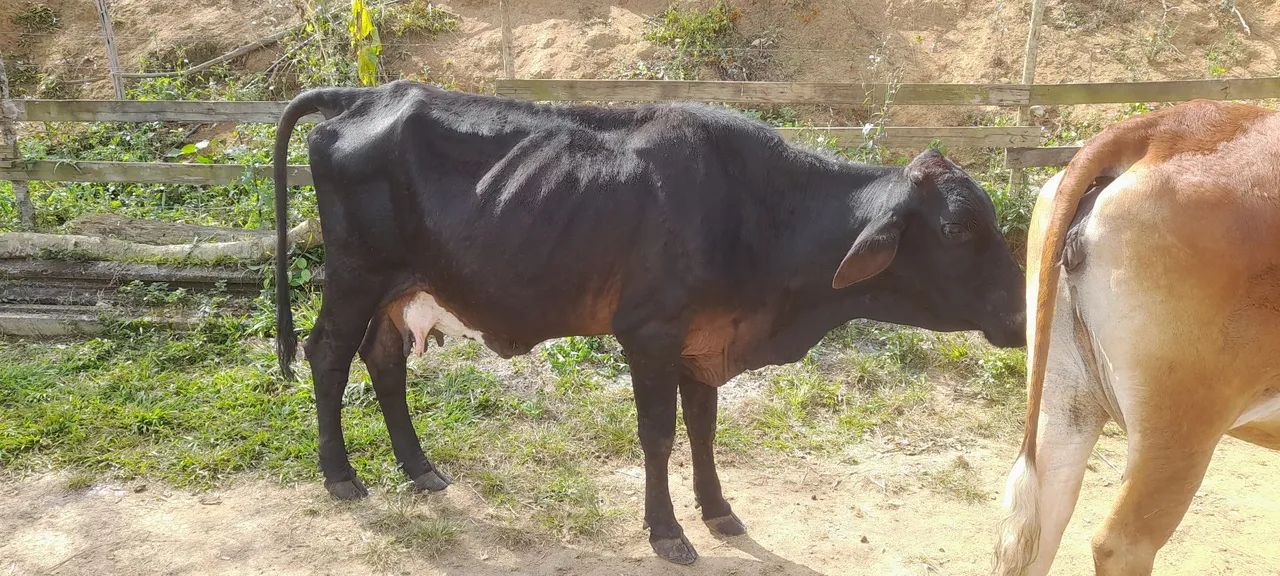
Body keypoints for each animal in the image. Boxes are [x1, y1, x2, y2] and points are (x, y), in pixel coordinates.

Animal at [272, 80, 1026, 565]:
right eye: (958, 229)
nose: (1024, 312)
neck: (758, 214)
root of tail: (366, 96)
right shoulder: (650, 335)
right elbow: (659, 435)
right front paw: (667, 532)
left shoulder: (703, 343)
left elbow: (704, 430)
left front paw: (719, 511)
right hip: (356, 276)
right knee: (328, 353)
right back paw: (340, 474)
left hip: (403, 288)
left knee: (384, 360)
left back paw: (420, 468)